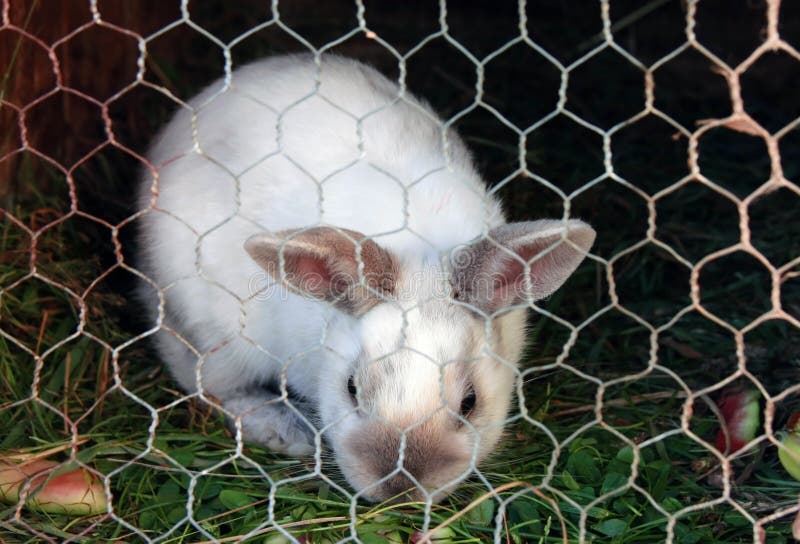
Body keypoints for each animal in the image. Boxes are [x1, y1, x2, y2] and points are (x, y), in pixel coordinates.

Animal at [135, 53, 595, 503]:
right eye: (351, 389)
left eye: (470, 402)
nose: (398, 487)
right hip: (223, 337)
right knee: (212, 386)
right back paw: (286, 428)